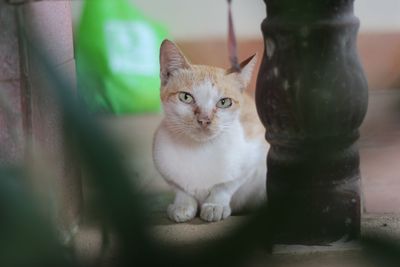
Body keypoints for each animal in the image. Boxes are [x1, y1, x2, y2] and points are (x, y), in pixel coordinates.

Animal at [152, 39, 268, 224]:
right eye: (186, 97)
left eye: (224, 102)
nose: (204, 119)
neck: (200, 150)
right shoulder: (163, 163)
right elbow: (181, 190)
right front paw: (182, 205)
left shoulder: (254, 156)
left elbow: (225, 186)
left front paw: (215, 205)